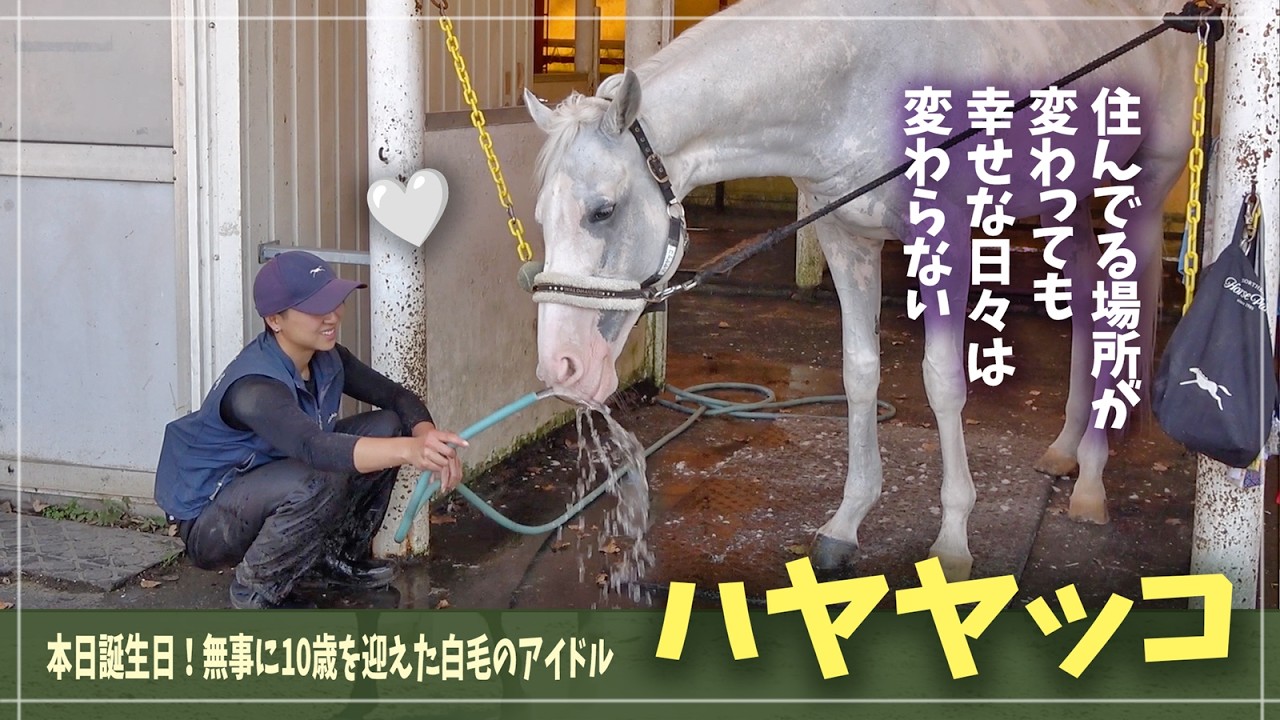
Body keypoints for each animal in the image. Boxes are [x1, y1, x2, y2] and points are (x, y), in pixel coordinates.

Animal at [523, 0, 1196, 581]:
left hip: (1138, 193)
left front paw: (953, 542)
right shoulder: (845, 239)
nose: (562, 366)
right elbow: (859, 373)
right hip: (1068, 196)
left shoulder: (944, 241)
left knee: (1122, 310)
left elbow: (942, 383)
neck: (856, 77)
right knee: (1085, 300)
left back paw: (1091, 481)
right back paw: (1064, 449)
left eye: (603, 211)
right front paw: (846, 524)